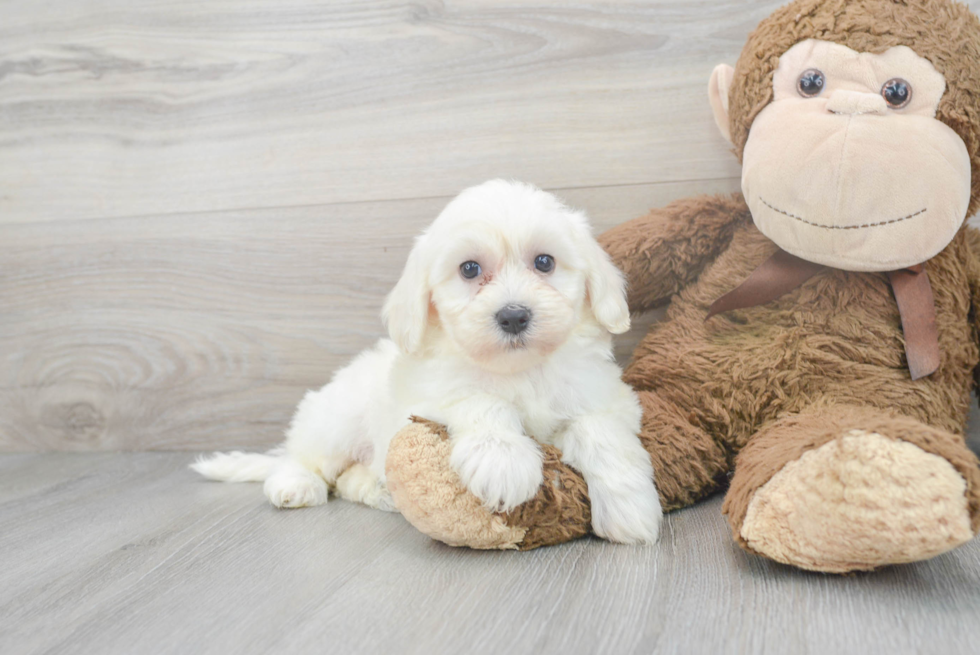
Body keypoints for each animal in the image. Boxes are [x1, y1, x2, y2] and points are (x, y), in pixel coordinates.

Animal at [193, 179, 660, 544]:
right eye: (469, 269)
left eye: (544, 262)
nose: (513, 315)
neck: (520, 369)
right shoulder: (426, 400)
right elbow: (480, 400)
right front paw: (504, 461)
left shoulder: (608, 397)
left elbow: (600, 431)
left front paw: (630, 508)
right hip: (335, 421)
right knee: (304, 459)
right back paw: (295, 485)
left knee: (347, 479)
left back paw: (380, 490)